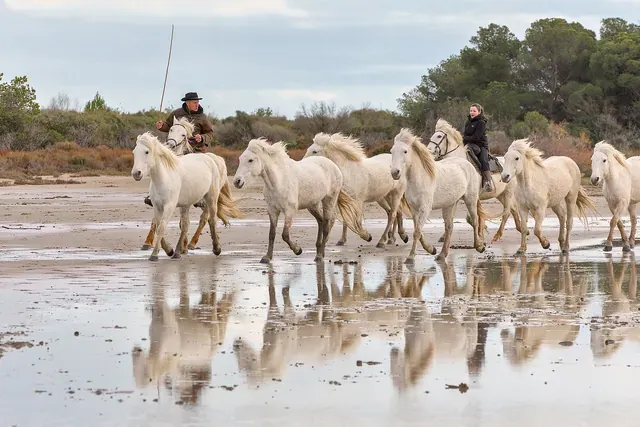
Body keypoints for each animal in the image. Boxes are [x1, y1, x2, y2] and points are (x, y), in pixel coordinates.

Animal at [141, 116, 244, 252]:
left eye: (183, 134)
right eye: (171, 129)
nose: (170, 144)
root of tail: (218, 160)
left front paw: (183, 246)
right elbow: (156, 221)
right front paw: (147, 242)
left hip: (209, 199)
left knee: (204, 219)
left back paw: (192, 243)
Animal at [233, 137, 371, 263]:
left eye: (250, 160)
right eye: (240, 159)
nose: (237, 182)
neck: (279, 181)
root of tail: (333, 165)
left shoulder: (289, 211)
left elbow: (285, 235)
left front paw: (298, 250)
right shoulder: (272, 210)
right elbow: (271, 234)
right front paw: (267, 258)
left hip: (329, 200)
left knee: (327, 223)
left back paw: (319, 256)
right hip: (312, 205)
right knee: (321, 221)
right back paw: (319, 251)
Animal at [390, 128, 489, 264]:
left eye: (405, 151)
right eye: (391, 151)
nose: (395, 173)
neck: (420, 178)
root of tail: (467, 163)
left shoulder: (425, 209)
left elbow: (417, 232)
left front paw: (410, 257)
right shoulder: (414, 209)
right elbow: (418, 231)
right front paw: (431, 249)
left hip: (470, 200)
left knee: (474, 221)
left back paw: (479, 246)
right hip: (449, 205)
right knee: (449, 227)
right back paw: (442, 254)